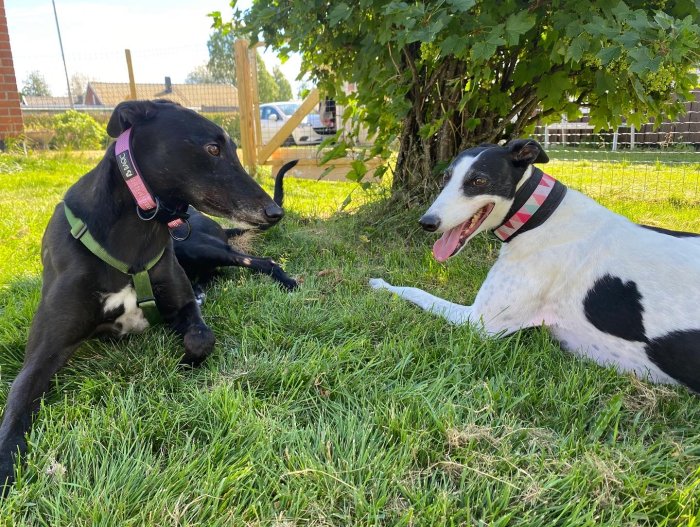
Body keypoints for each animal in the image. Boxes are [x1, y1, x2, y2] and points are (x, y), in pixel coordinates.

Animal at [370, 140, 696, 392]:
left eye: (478, 181)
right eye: (446, 177)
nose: (427, 223)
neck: (540, 216)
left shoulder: (480, 322)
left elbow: (416, 291)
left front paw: (382, 285)